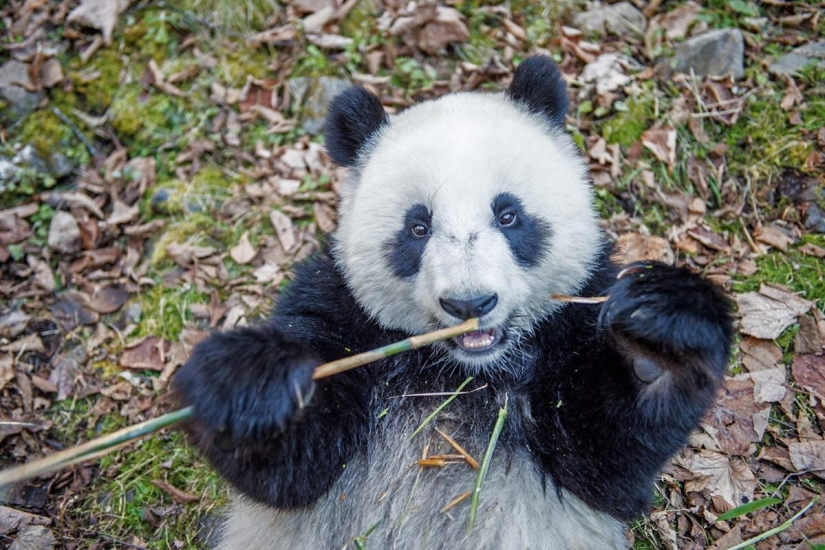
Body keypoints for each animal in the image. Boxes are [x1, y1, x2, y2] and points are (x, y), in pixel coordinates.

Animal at [172, 55, 733, 549]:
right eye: (417, 227)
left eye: (508, 215)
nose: (470, 303)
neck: (462, 372)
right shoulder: (340, 310)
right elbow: (292, 473)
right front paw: (253, 386)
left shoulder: (573, 319)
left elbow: (607, 460)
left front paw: (656, 344)